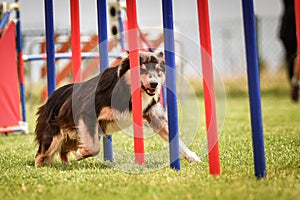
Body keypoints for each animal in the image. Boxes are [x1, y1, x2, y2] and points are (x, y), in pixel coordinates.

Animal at [34, 51, 199, 166]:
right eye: (143, 70)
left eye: (159, 70)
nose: (154, 84)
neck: (128, 89)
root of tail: (51, 98)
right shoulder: (88, 113)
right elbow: (94, 147)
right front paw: (81, 154)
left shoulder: (154, 117)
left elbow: (176, 139)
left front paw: (192, 157)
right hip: (53, 136)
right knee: (41, 154)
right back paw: (40, 167)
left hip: (72, 135)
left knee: (63, 150)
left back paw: (66, 164)